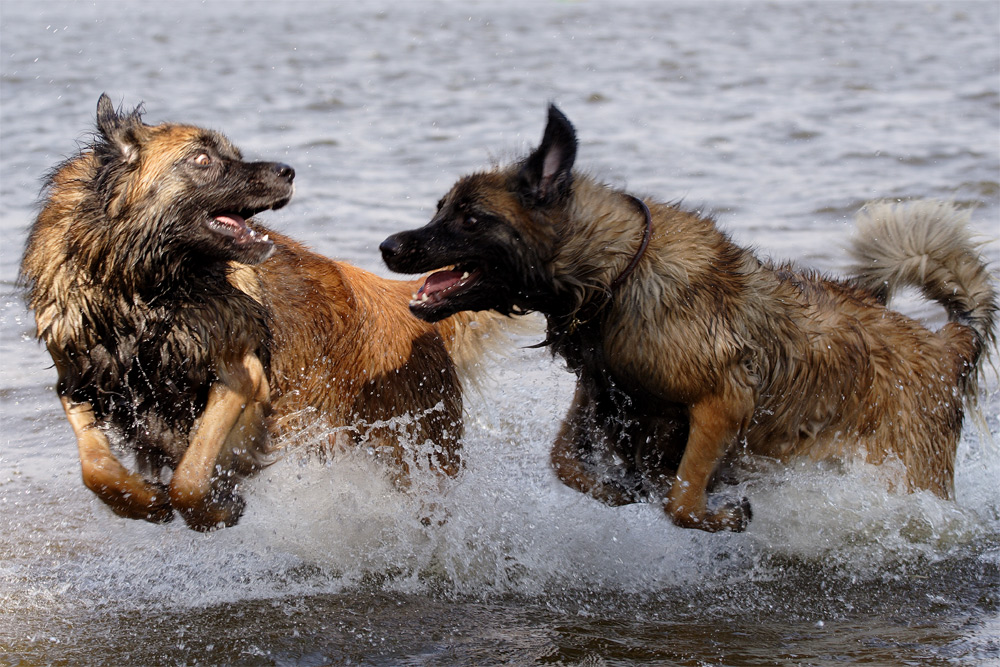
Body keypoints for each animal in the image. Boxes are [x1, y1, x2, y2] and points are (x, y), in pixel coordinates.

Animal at [19, 94, 496, 532]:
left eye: (235, 154)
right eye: (202, 158)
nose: (287, 171)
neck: (144, 288)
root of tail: (404, 303)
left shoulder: (239, 370)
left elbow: (190, 477)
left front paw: (215, 509)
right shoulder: (78, 377)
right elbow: (95, 468)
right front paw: (142, 501)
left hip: (414, 453)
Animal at [378, 105, 996, 532]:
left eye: (471, 218)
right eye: (440, 208)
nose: (388, 246)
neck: (617, 273)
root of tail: (949, 343)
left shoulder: (723, 402)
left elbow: (680, 499)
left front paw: (720, 517)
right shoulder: (601, 393)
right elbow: (563, 461)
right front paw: (618, 490)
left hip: (910, 475)